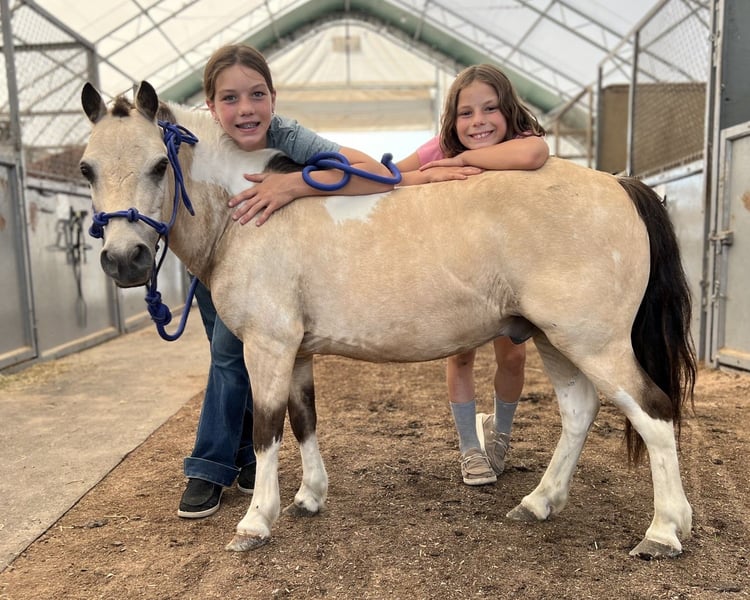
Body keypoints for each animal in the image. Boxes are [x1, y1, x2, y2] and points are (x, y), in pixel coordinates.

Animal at [79, 81, 696, 559]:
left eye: (160, 164)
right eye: (86, 168)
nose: (125, 259)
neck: (248, 214)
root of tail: (619, 184)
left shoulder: (268, 346)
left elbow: (266, 428)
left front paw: (255, 522)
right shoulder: (297, 351)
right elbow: (303, 420)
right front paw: (309, 498)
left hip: (595, 342)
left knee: (654, 413)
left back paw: (664, 532)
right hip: (554, 339)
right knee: (578, 412)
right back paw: (539, 503)